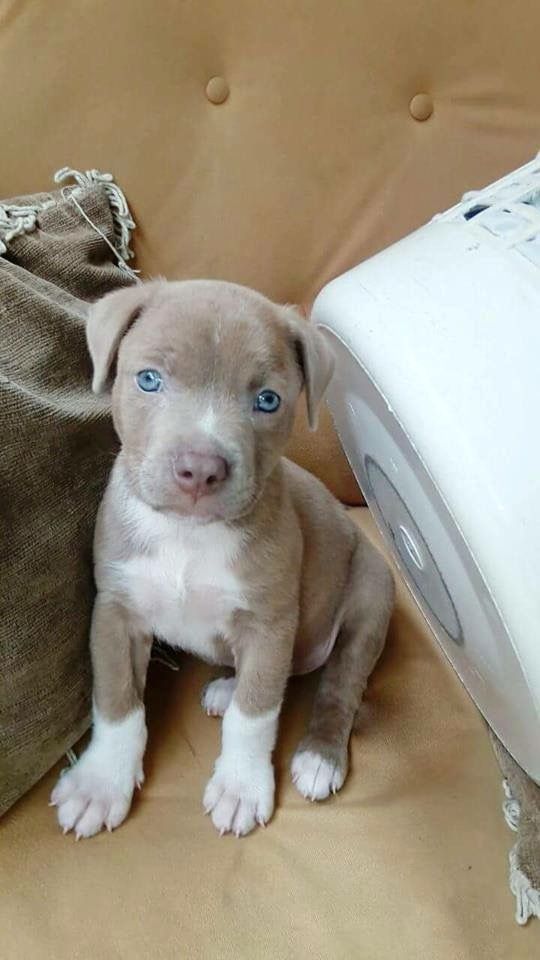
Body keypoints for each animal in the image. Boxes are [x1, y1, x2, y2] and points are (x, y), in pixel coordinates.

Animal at [49, 282, 392, 836]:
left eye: (267, 400)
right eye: (148, 379)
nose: (200, 470)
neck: (188, 537)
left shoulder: (270, 624)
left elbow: (254, 717)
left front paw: (241, 786)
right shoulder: (116, 612)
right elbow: (118, 701)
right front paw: (100, 782)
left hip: (370, 593)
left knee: (338, 684)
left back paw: (319, 756)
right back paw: (228, 687)